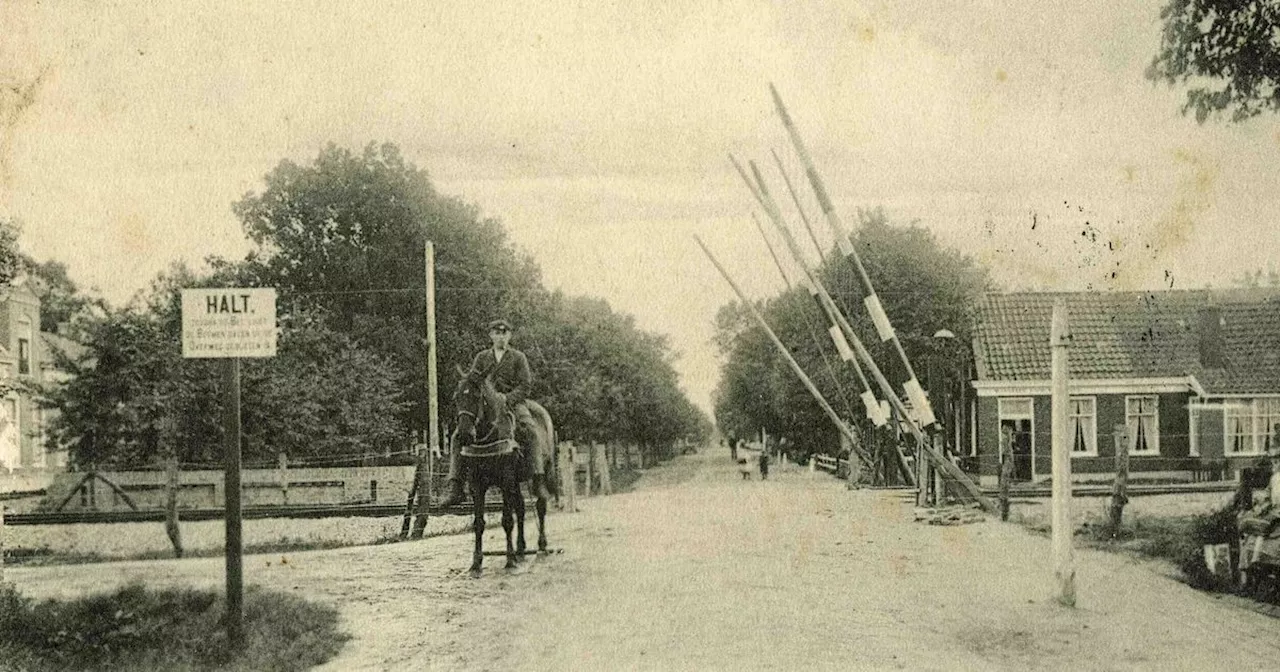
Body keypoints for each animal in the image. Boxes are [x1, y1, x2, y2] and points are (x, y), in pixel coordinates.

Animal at [453, 371, 558, 576]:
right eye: (457, 398)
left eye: (476, 397)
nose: (464, 435)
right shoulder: (477, 485)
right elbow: (479, 523)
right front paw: (476, 564)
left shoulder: (506, 481)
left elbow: (507, 520)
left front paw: (509, 561)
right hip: (516, 483)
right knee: (522, 508)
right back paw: (521, 550)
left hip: (539, 474)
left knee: (540, 504)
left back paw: (541, 547)